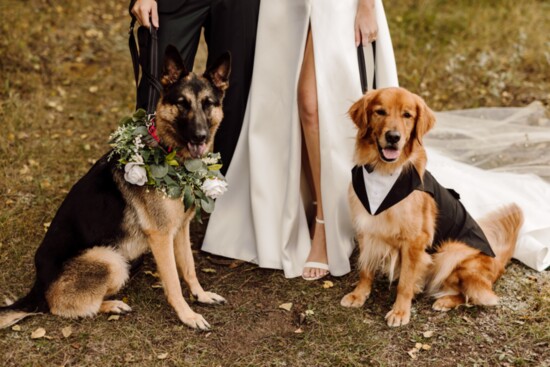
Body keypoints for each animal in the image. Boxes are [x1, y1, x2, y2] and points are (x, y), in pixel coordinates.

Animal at [0, 45, 231, 330]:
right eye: (181, 103)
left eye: (208, 103)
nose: (200, 136)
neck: (168, 152)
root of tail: (37, 290)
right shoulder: (161, 237)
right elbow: (174, 283)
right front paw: (187, 315)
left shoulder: (180, 229)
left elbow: (189, 268)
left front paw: (201, 296)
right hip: (111, 260)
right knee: (61, 307)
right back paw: (112, 305)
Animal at [340, 87, 528, 328]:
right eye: (380, 112)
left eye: (407, 115)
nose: (393, 137)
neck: (383, 172)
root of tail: (498, 264)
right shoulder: (366, 227)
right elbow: (365, 268)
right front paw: (359, 294)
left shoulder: (415, 241)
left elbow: (405, 282)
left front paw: (400, 311)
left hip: (452, 251)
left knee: (476, 295)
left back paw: (445, 301)